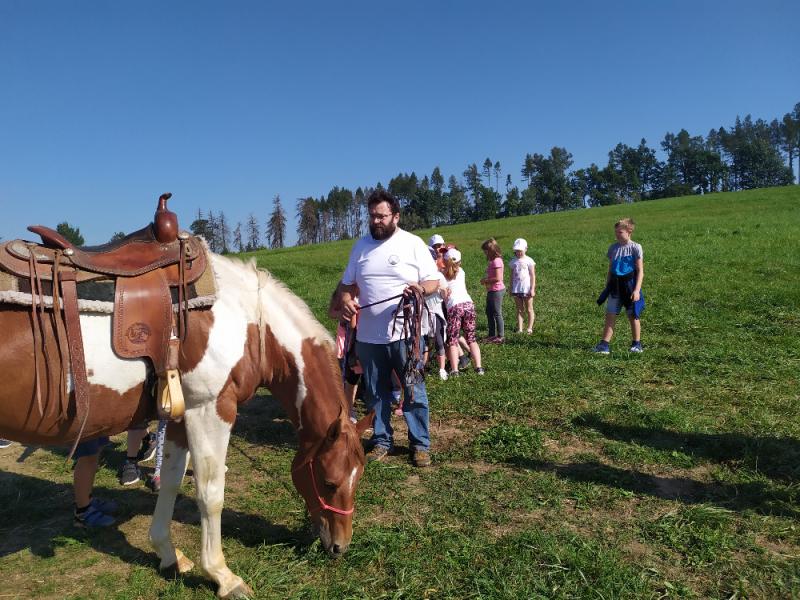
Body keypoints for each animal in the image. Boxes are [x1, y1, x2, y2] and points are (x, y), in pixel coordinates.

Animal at [0, 252, 373, 599]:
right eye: (329, 482)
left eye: (358, 479)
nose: (340, 546)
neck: (248, 318)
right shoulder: (211, 410)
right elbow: (210, 494)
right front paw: (222, 576)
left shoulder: (179, 416)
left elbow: (171, 481)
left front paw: (168, 553)